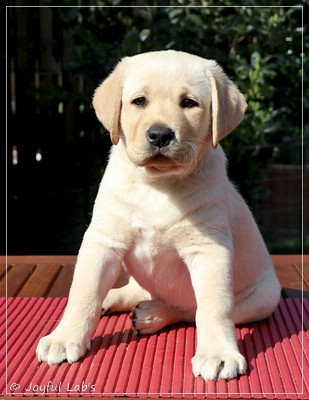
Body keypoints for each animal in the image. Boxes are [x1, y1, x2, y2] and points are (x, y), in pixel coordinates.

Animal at [36, 50, 280, 382]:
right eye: (139, 101)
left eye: (189, 103)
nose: (160, 134)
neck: (157, 184)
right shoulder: (103, 240)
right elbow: (83, 292)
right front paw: (64, 338)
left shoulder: (209, 249)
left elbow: (213, 307)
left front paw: (218, 354)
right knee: (139, 289)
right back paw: (113, 299)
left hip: (263, 297)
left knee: (188, 309)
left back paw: (154, 314)